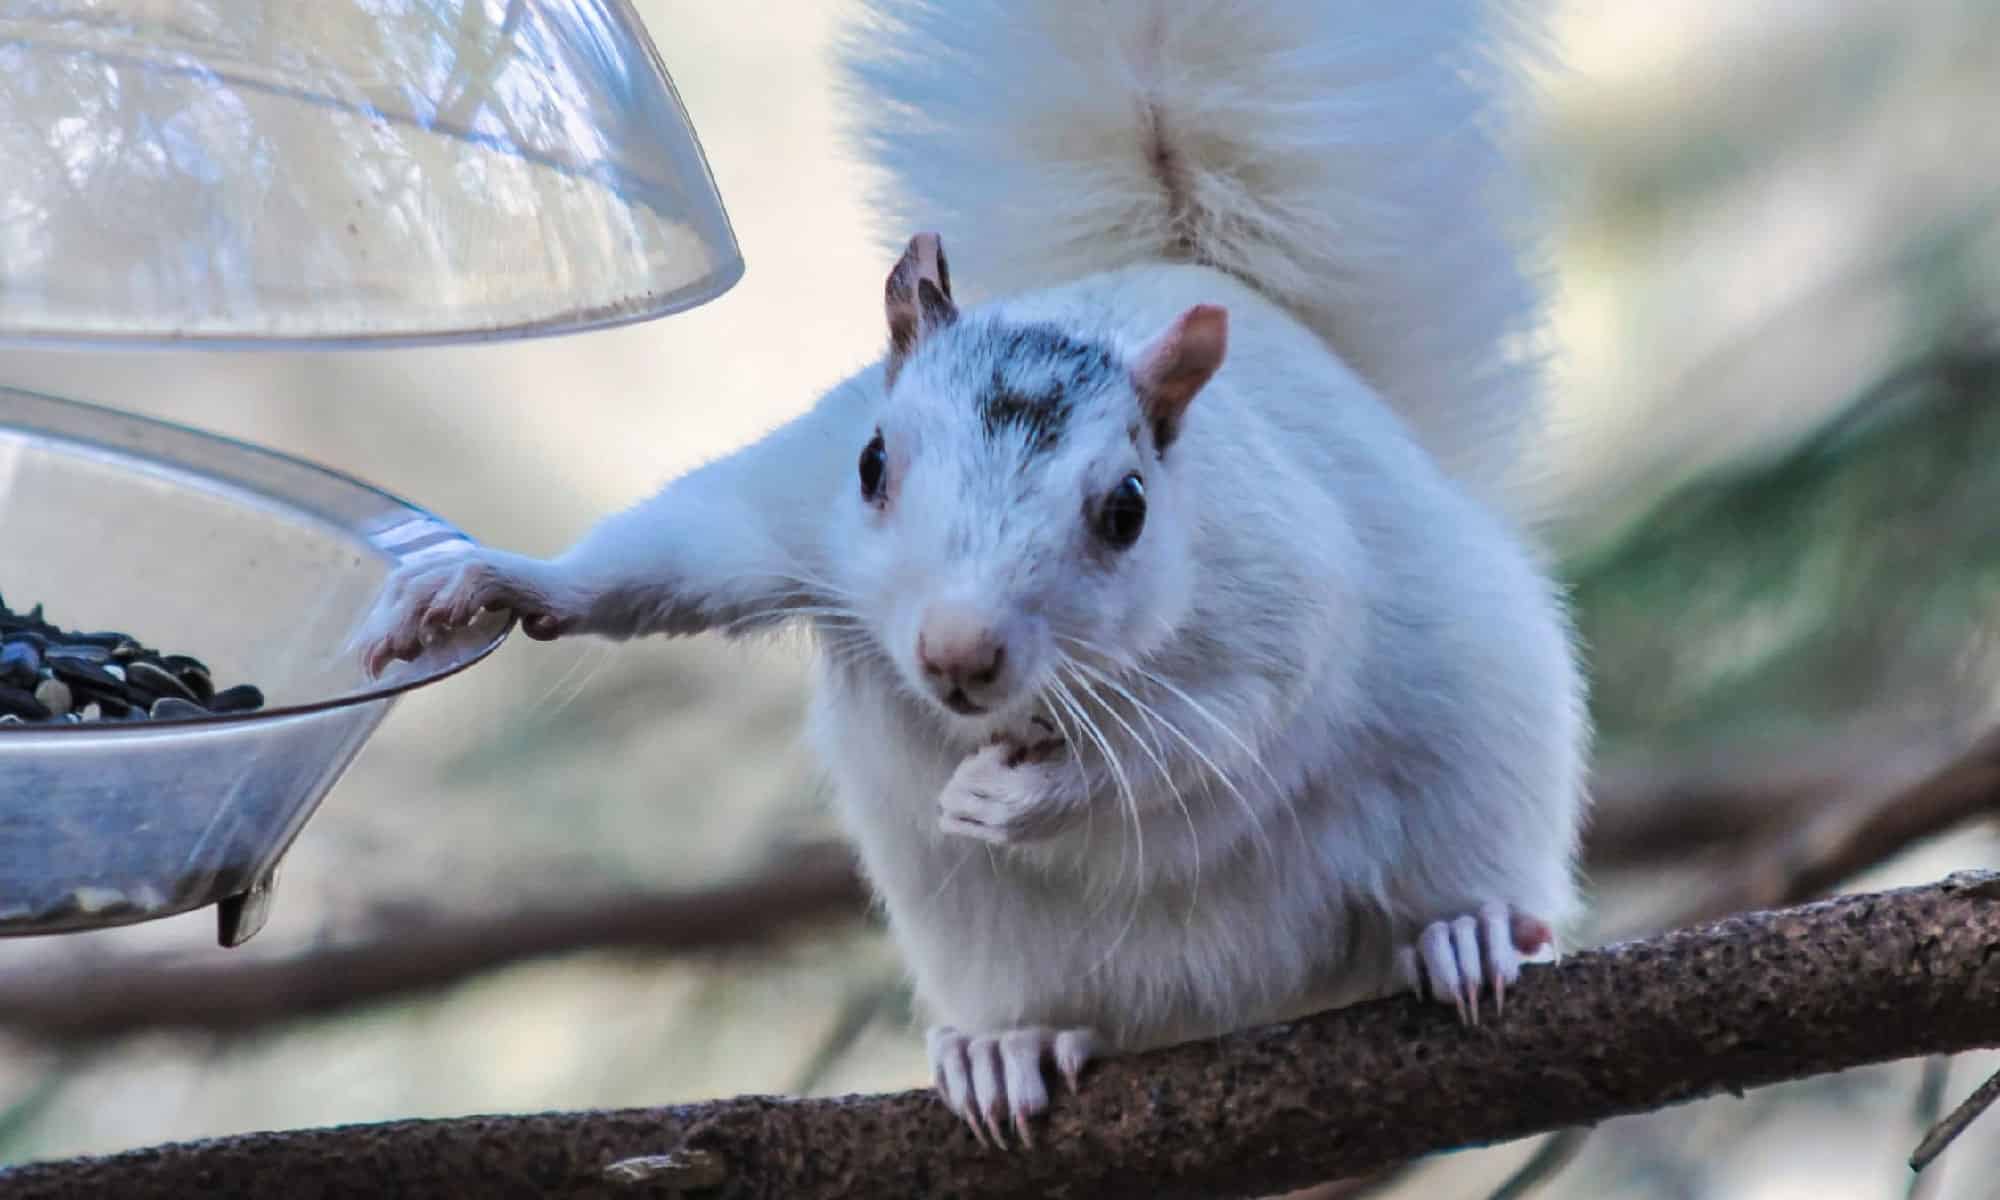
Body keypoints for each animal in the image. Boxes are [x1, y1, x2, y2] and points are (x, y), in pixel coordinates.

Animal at [352, 0, 1584, 1152]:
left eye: (1128, 509)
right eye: (871, 462)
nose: (955, 655)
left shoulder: (1278, 595)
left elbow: (1209, 734)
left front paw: (1016, 795)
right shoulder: (788, 505)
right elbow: (669, 557)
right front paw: (482, 585)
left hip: (1472, 778)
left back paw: (1464, 932)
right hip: (991, 941)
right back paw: (1007, 1047)